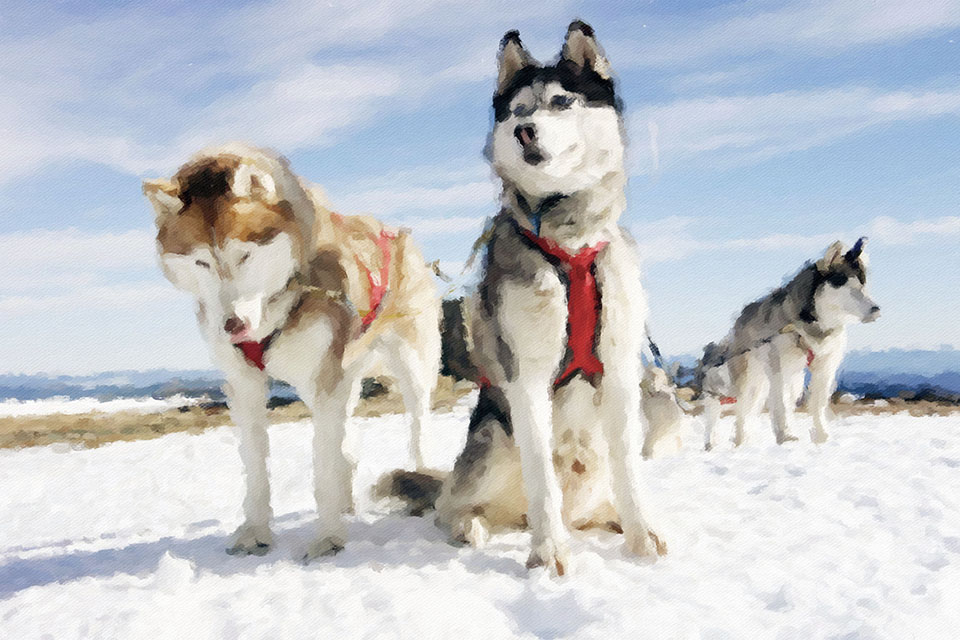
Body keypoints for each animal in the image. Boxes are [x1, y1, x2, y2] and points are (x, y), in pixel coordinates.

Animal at [143, 143, 441, 560]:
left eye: (244, 255)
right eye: (201, 261)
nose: (232, 326)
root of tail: (394, 231)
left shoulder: (325, 381)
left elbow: (322, 467)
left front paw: (329, 538)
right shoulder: (245, 385)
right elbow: (255, 467)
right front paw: (255, 532)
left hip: (410, 365)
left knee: (416, 425)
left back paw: (415, 479)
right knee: (345, 441)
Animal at [379, 21, 667, 576]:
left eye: (560, 102)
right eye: (517, 111)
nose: (525, 132)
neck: (570, 243)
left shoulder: (620, 371)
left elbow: (631, 469)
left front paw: (641, 536)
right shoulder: (528, 375)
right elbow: (542, 481)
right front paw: (549, 552)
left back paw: (608, 520)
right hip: (491, 439)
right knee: (451, 506)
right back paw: (473, 526)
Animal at [696, 238, 880, 449]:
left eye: (864, 285)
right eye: (847, 284)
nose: (876, 310)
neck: (812, 325)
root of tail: (741, 316)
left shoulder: (825, 366)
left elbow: (817, 404)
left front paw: (822, 438)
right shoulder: (778, 367)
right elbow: (780, 405)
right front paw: (785, 437)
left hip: (789, 379)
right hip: (752, 379)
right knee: (743, 409)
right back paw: (740, 442)